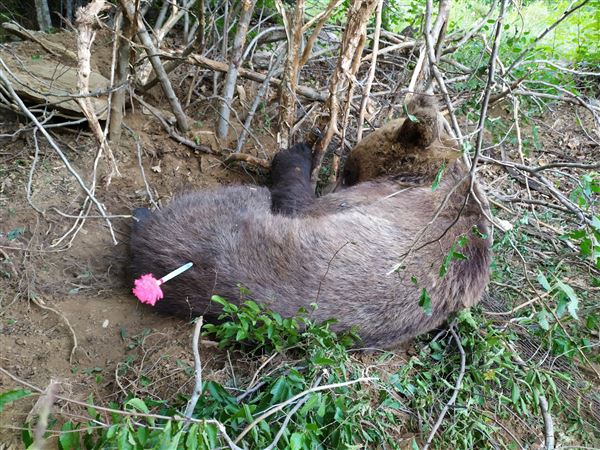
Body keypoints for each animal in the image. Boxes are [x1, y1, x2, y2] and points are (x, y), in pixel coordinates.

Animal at [131, 96, 492, 348]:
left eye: (350, 170)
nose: (340, 173)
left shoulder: (382, 203)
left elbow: (300, 204)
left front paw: (297, 153)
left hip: (230, 230)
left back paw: (143, 220)